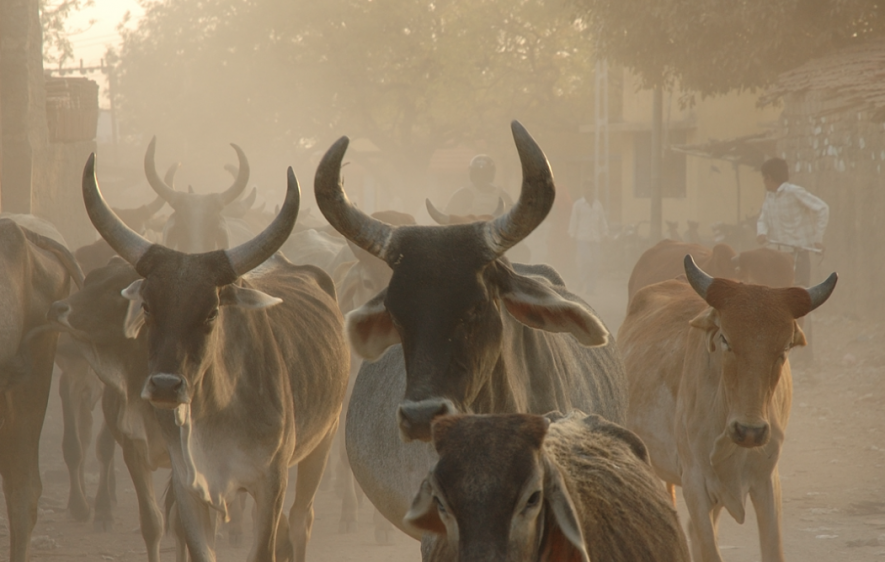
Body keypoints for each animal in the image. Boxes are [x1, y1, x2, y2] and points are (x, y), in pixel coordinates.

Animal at [81, 153, 349, 562]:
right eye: (148, 306)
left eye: (211, 313)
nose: (165, 386)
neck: (217, 412)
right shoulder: (189, 488)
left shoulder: (270, 484)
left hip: (322, 442)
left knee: (302, 520)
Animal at [618, 255, 837, 562]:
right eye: (725, 339)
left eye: (784, 348)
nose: (749, 431)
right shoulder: (695, 483)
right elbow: (708, 550)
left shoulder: (766, 480)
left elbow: (772, 550)